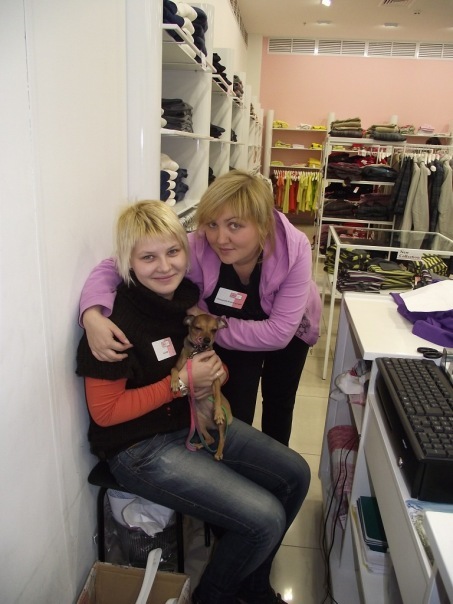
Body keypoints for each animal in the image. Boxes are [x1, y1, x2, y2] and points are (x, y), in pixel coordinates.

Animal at [171, 313, 232, 460]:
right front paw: (175, 382)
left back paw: (218, 453)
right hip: (199, 423)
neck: (197, 352)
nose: (207, 340)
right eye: (198, 328)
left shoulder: (215, 377)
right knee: (210, 439)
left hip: (222, 425)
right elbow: (174, 370)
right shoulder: (178, 367)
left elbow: (217, 395)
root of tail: (212, 425)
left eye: (214, 330)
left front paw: (218, 412)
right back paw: (199, 445)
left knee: (222, 439)